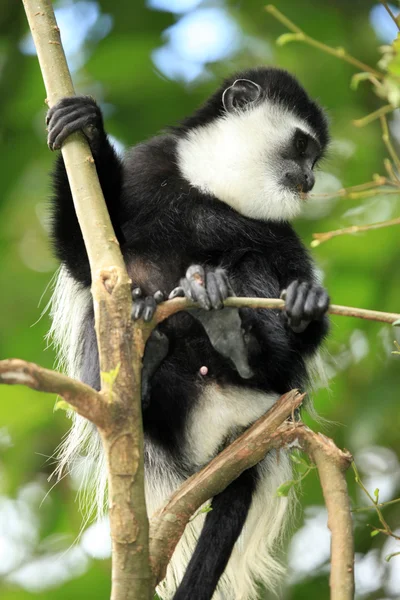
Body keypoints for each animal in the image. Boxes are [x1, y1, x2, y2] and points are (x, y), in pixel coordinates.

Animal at [47, 68, 328, 596]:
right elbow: (87, 262)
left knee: (249, 266)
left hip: (261, 389)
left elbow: (300, 317)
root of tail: (233, 430)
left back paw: (235, 336)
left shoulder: (276, 229)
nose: (311, 179)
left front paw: (304, 305)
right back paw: (142, 365)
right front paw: (87, 129)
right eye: (303, 145)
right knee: (104, 321)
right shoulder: (149, 168)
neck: (210, 187)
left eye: (315, 157)